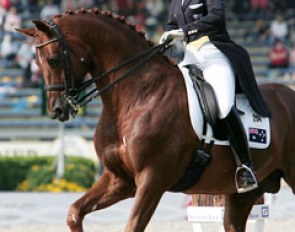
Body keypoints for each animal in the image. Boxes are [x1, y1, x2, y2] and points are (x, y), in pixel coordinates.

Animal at [17, 9, 295, 232]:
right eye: (36, 62)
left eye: (53, 59)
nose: (57, 110)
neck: (136, 95)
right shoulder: (120, 179)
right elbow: (74, 212)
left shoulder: (152, 180)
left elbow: (132, 226)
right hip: (243, 195)